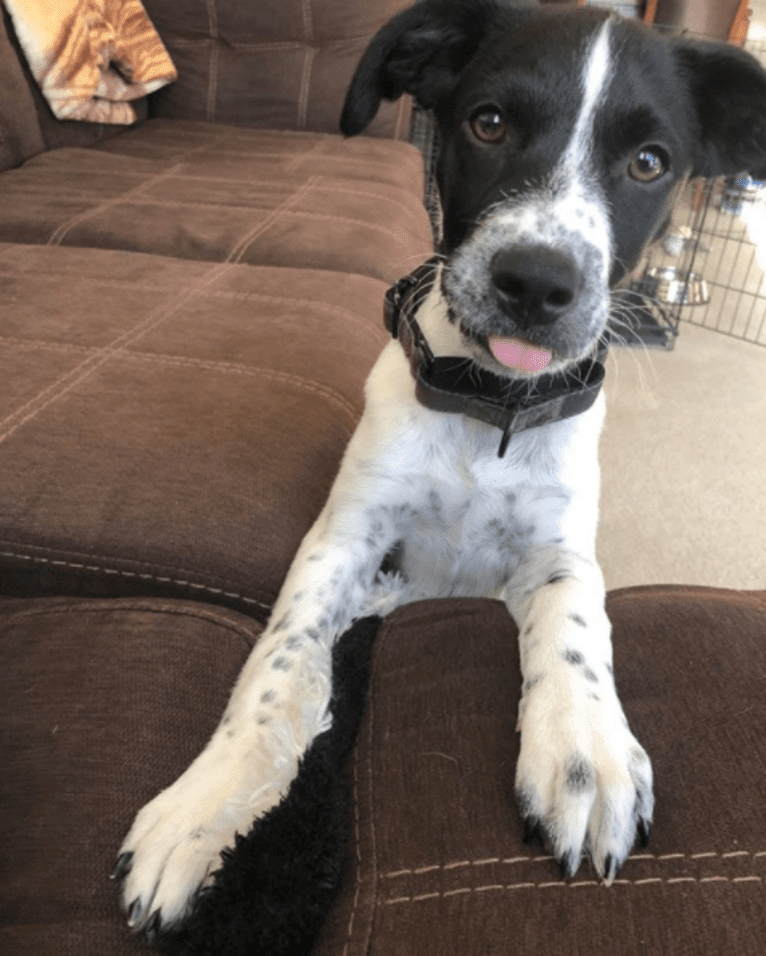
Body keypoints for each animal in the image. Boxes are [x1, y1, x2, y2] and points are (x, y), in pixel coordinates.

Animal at [112, 0, 766, 936]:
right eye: (488, 122)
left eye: (649, 163)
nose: (536, 283)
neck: (490, 410)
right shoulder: (345, 536)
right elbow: (280, 655)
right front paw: (213, 801)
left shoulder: (557, 550)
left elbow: (577, 619)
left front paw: (586, 751)